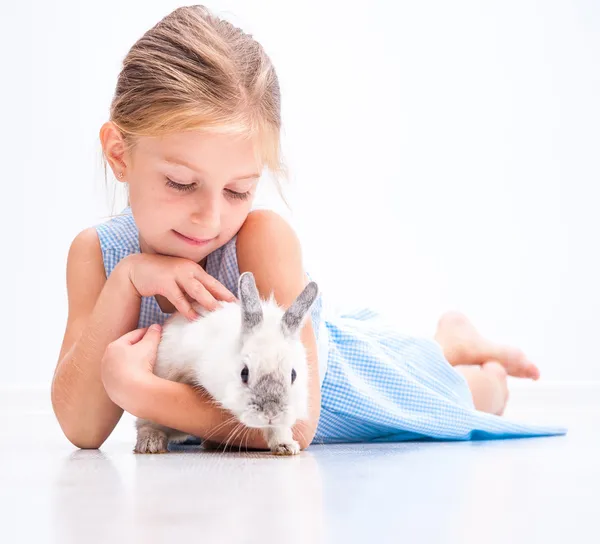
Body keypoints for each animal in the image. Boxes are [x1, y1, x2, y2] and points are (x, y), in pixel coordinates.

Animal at [132, 270, 318, 454]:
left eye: (293, 375)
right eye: (244, 373)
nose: (271, 413)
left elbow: (279, 429)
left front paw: (286, 446)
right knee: (146, 424)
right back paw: (150, 443)